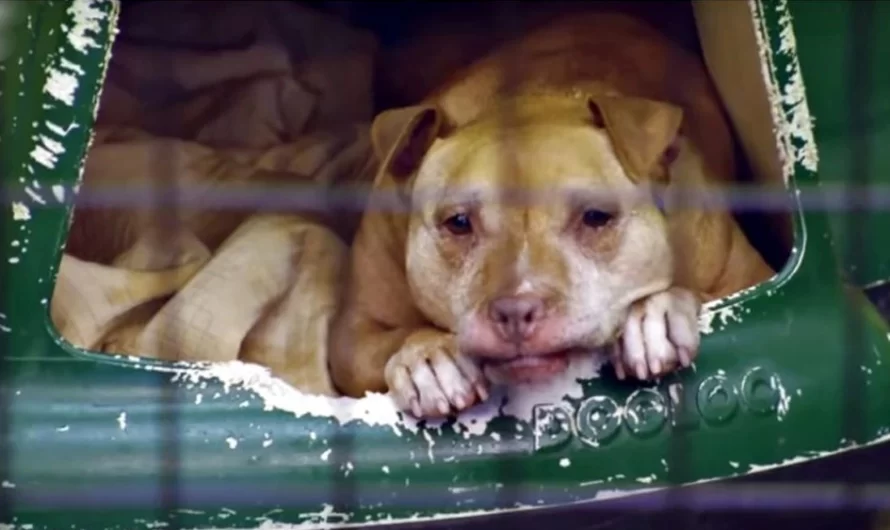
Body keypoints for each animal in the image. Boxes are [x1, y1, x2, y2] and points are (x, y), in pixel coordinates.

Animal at [330, 12, 772, 416]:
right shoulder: (353, 333)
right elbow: (389, 339)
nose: (515, 311)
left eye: (595, 216)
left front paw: (652, 314)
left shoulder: (748, 279)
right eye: (458, 222)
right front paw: (428, 355)